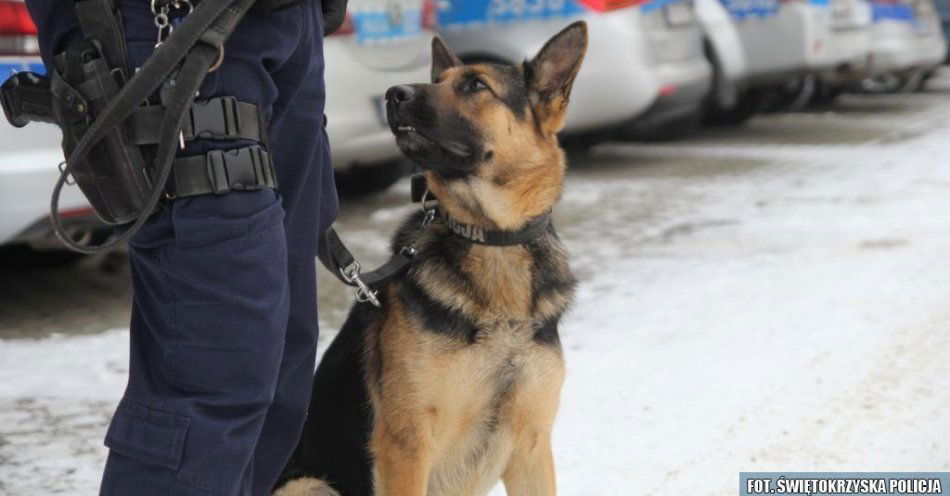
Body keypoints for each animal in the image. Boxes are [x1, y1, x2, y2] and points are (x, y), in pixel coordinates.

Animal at [274, 21, 588, 494]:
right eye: (439, 81)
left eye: (475, 85)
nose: (393, 93)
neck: (491, 240)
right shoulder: (406, 447)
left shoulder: (532, 447)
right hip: (308, 484)